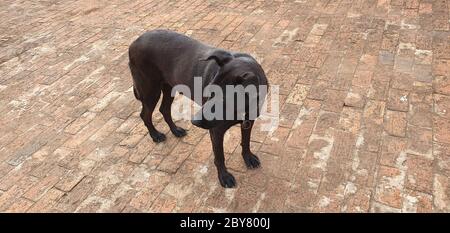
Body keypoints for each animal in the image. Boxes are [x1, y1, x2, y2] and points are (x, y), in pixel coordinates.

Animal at [127, 30, 268, 188]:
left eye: (224, 99)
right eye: (209, 91)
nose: (194, 122)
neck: (243, 106)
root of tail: (134, 43)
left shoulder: (248, 121)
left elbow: (246, 141)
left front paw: (248, 157)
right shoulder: (216, 131)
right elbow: (219, 156)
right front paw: (224, 176)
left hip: (169, 86)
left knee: (164, 109)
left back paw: (175, 130)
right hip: (150, 90)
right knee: (145, 114)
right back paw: (155, 135)